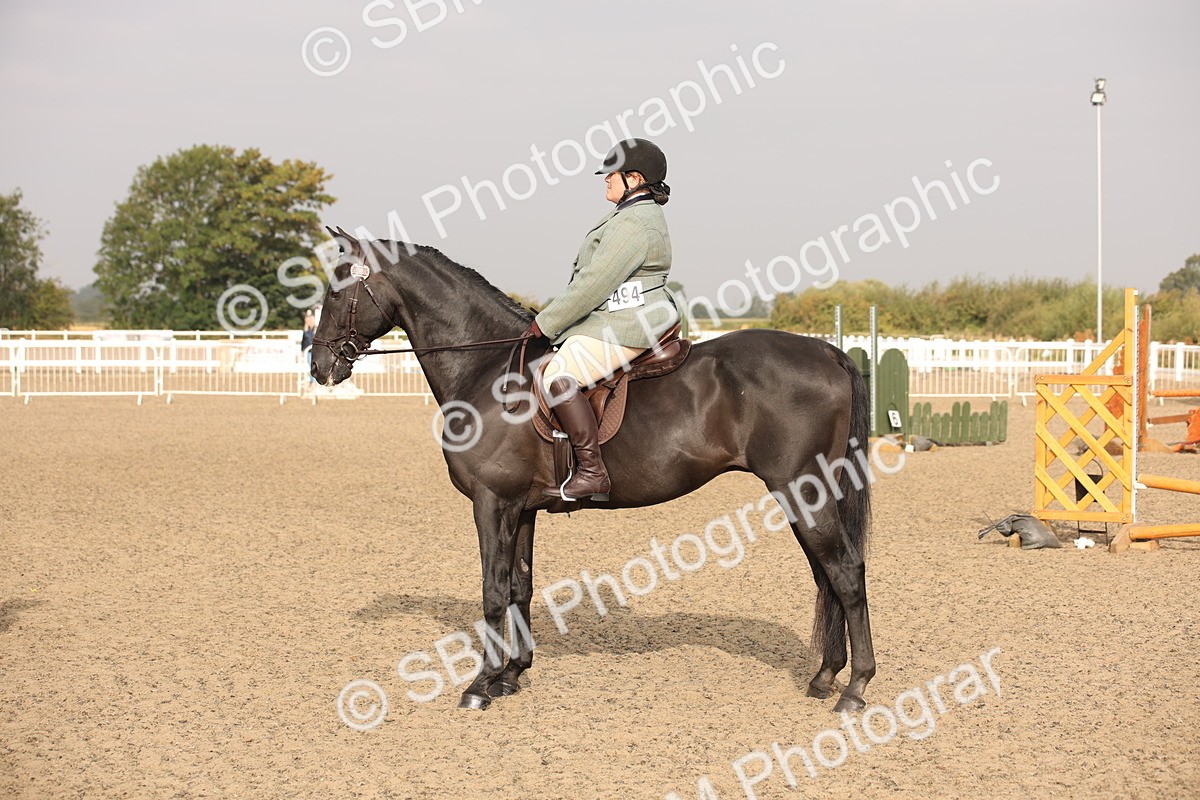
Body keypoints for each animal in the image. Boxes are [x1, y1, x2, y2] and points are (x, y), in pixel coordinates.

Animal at [309, 230, 876, 714]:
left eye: (337, 291)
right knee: (826, 575)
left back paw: (855, 688)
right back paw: (825, 677)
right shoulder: (521, 507)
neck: (486, 371)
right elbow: (519, 586)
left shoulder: (492, 501)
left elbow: (492, 590)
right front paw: (513, 674)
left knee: (845, 572)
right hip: (806, 494)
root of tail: (828, 351)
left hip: (802, 490)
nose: (319, 367)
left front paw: (480, 684)